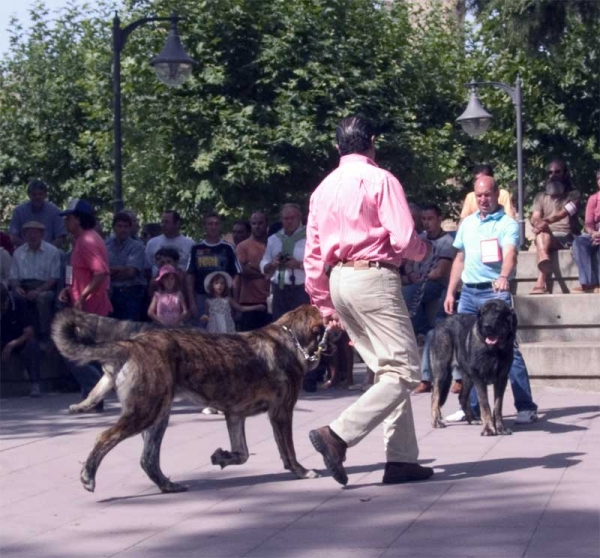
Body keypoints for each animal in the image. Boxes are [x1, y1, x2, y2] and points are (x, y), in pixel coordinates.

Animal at [52, 308, 330, 496]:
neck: (292, 337)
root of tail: (131, 344)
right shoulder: (281, 413)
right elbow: (288, 450)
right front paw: (301, 471)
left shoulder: (235, 415)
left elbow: (242, 454)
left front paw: (222, 457)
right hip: (145, 411)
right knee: (105, 437)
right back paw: (88, 476)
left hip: (159, 416)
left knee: (148, 459)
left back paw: (168, 485)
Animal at [432, 302, 516, 438]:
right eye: (483, 313)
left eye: (498, 312)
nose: (487, 326)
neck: (494, 351)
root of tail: (443, 321)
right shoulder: (479, 378)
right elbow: (485, 404)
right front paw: (489, 429)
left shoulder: (502, 379)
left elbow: (498, 406)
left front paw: (500, 428)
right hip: (442, 372)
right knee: (435, 396)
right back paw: (436, 421)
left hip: (468, 377)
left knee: (462, 397)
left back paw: (471, 419)